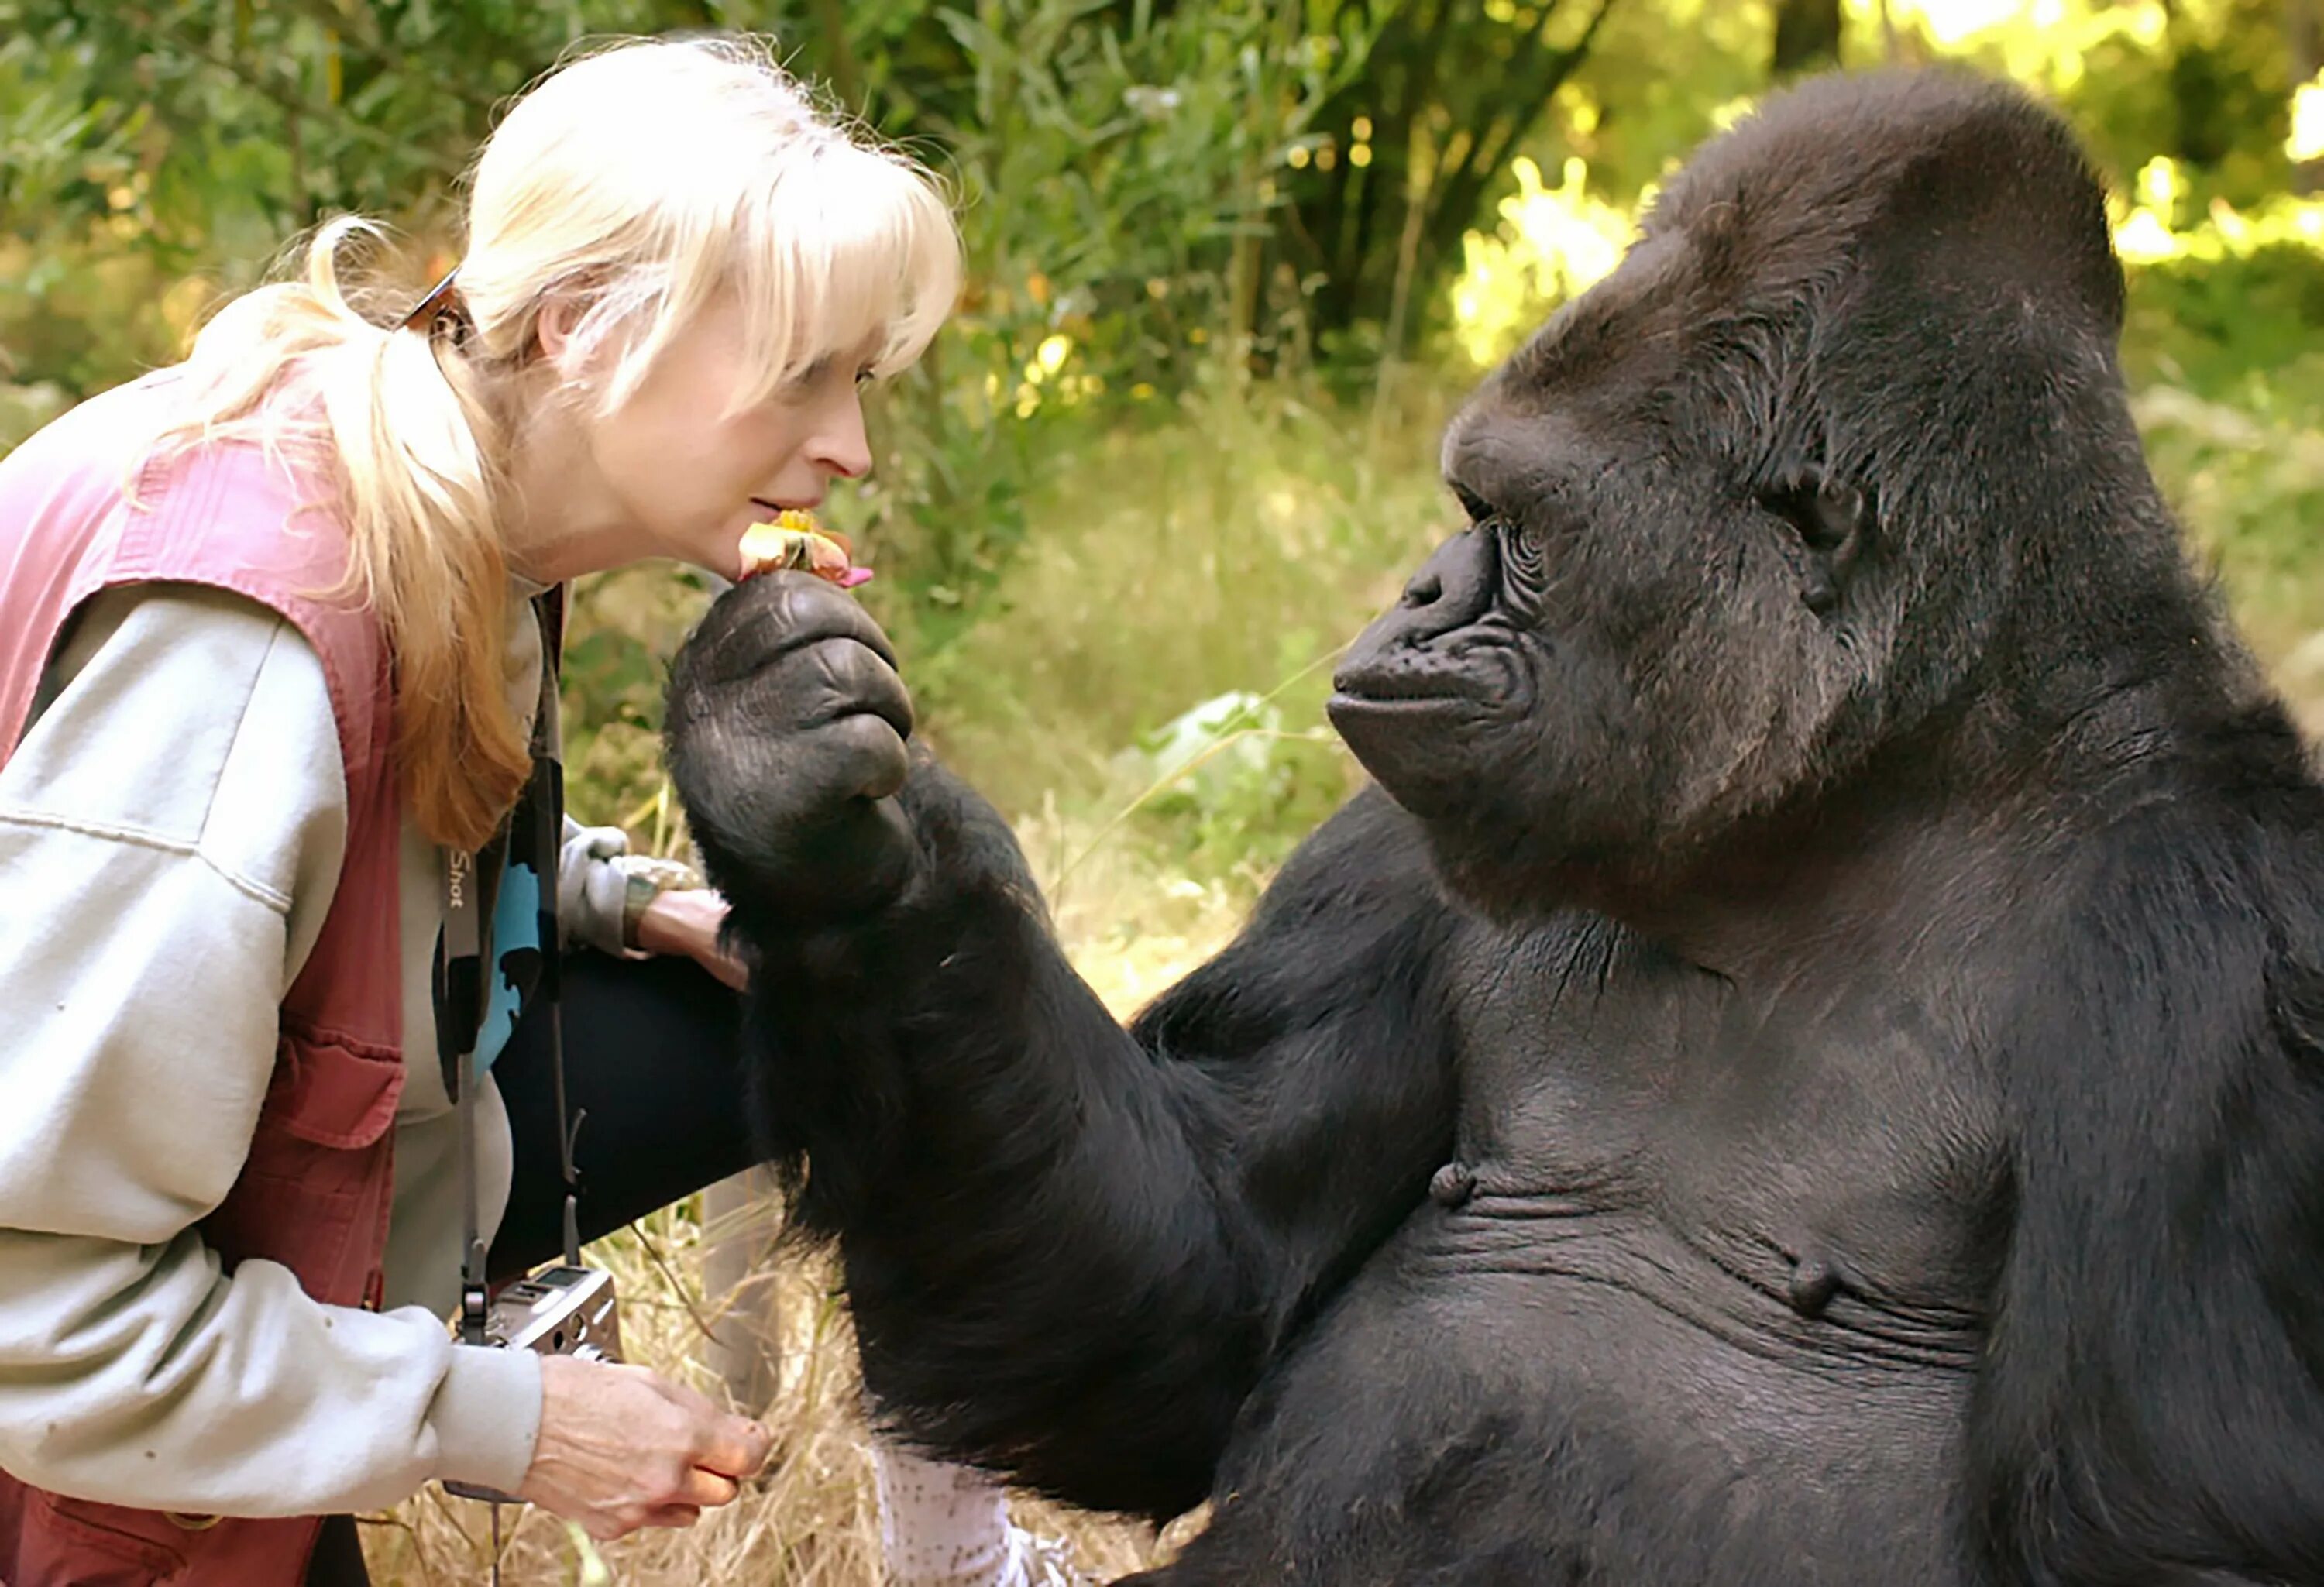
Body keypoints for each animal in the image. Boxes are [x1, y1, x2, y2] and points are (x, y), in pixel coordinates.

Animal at [665, 71, 2324, 1587]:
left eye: (1512, 528)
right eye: (1468, 508)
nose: (1414, 593)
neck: (1870, 783)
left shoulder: (2235, 965)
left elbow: (2169, 1530)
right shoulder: (1402, 844)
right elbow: (1192, 1283)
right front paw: (821, 834)